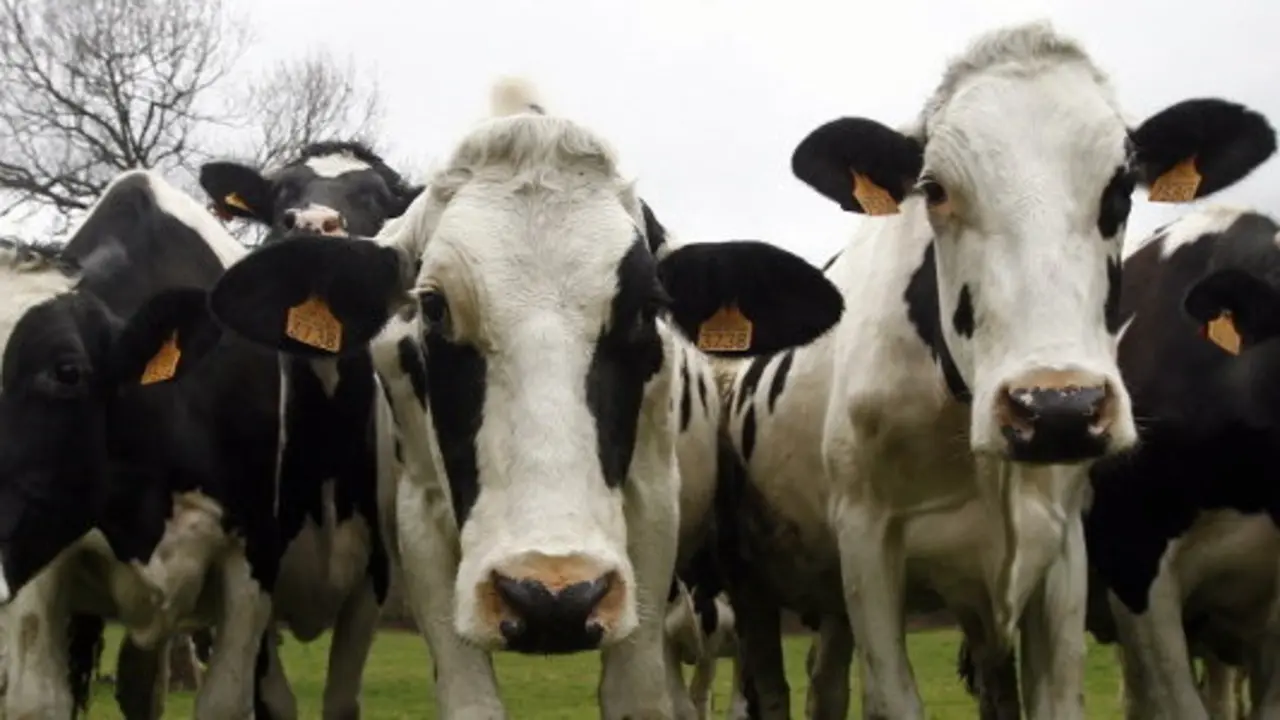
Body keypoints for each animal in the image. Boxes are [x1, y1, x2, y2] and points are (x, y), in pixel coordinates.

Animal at [199, 76, 847, 719]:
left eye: (648, 308)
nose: (553, 596)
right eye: (432, 305)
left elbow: (637, 695)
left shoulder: (653, 507)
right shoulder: (420, 521)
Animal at [715, 20, 1276, 720]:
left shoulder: (1064, 552)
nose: (1058, 409)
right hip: (753, 585)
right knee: (770, 686)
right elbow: (894, 697)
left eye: (1121, 189)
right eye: (934, 190)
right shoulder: (867, 544)